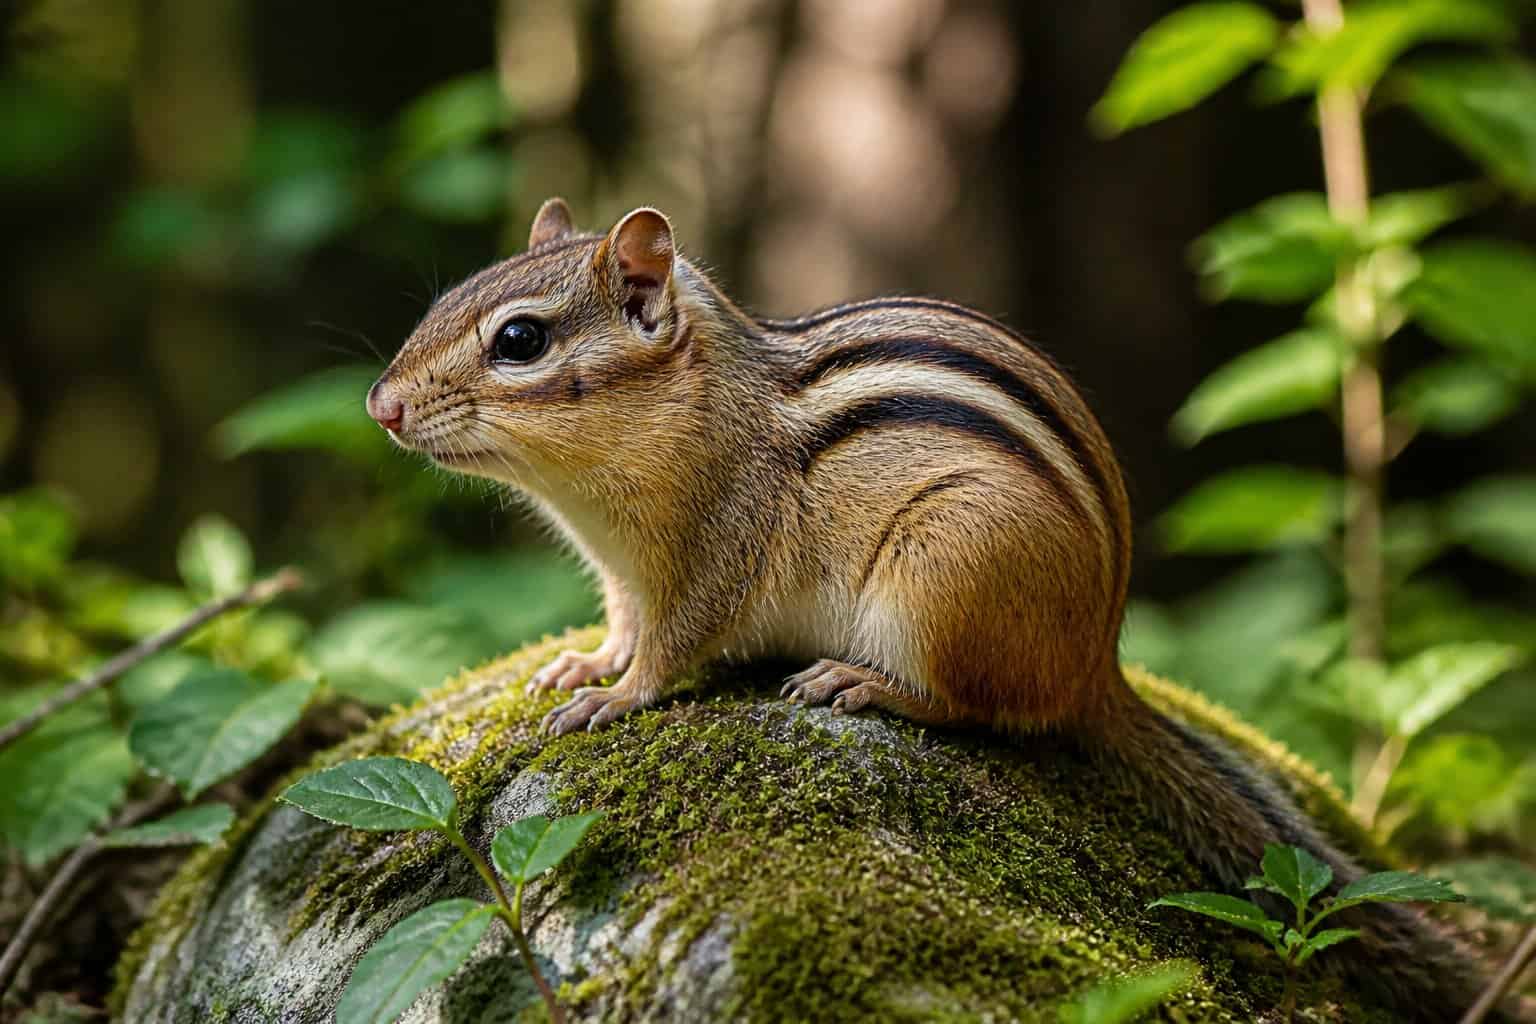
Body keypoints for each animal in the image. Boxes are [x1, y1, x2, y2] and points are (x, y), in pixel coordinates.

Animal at [367, 198, 1510, 1022]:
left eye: (520, 339)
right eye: (447, 299)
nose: (381, 406)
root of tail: (1099, 661)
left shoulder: (716, 552)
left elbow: (677, 644)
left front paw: (617, 697)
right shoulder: (620, 573)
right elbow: (620, 623)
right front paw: (582, 665)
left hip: (943, 576)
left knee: (987, 709)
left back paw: (865, 683)